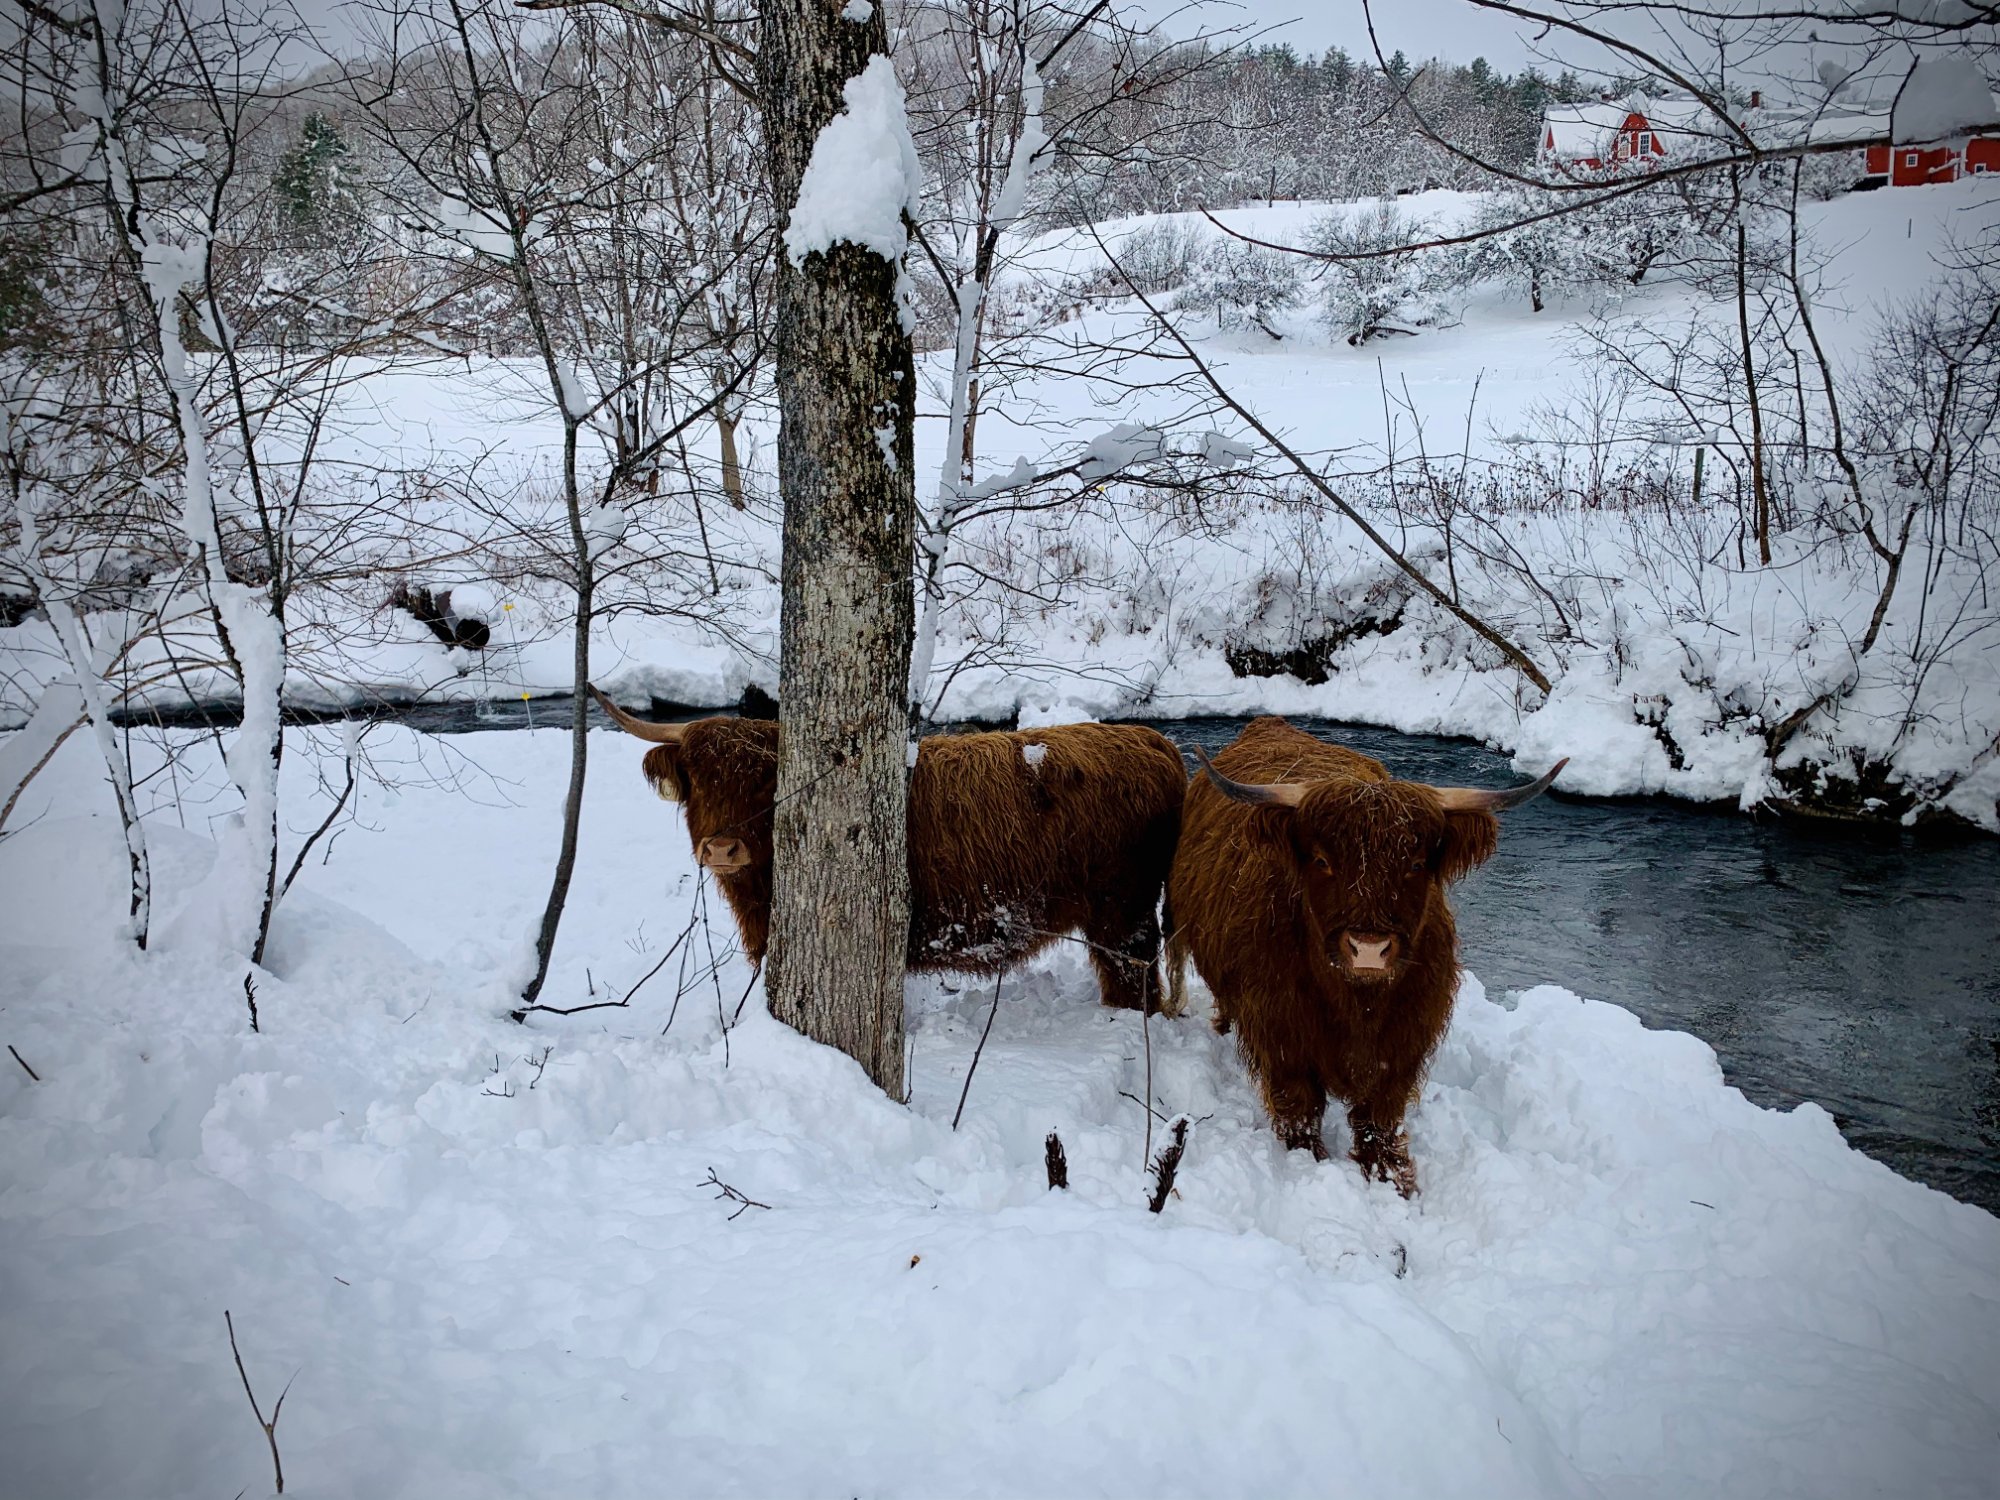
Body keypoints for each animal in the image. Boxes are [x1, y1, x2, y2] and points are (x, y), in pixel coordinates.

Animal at [591, 687, 1187, 1012]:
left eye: (761, 781)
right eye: (695, 779)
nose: (721, 848)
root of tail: (1157, 742)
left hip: (1123, 912)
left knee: (1133, 980)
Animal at [1165, 716, 1562, 1196]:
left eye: (1416, 864)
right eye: (1322, 861)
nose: (1368, 949)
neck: (1357, 1003)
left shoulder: (1405, 1041)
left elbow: (1378, 1115)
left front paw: (1392, 1176)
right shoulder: (1281, 1034)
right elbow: (1300, 1106)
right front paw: (1309, 1160)